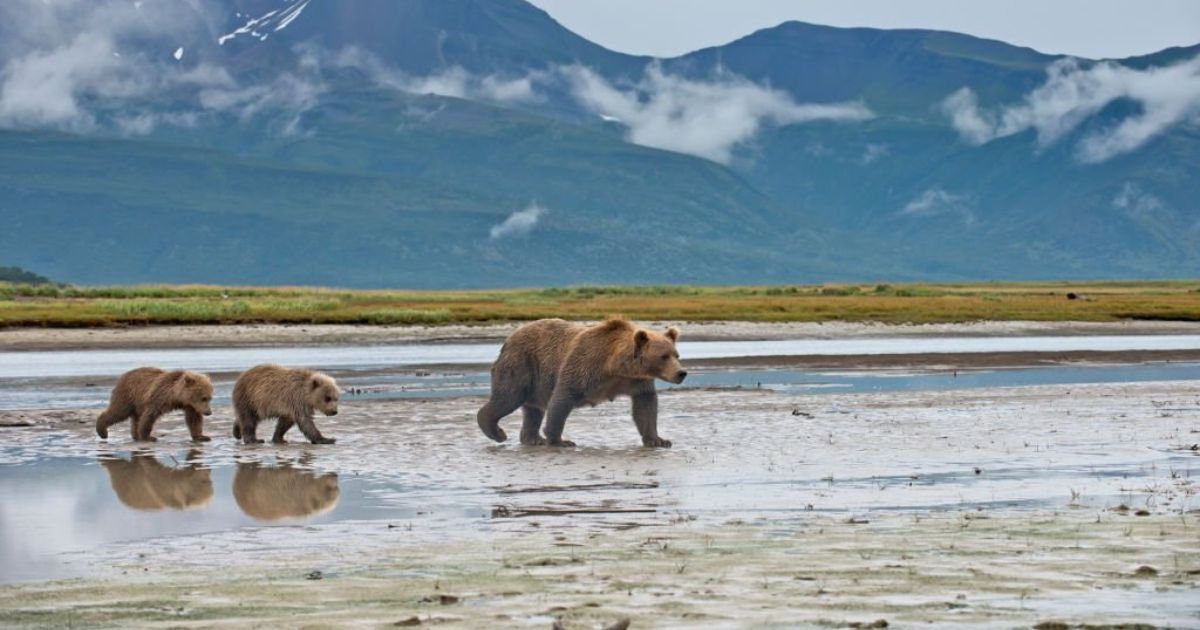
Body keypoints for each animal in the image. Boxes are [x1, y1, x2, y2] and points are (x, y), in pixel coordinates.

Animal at [476, 317, 687, 448]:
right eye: (663, 356)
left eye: (676, 355)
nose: (681, 373)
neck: (616, 367)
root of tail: (508, 339)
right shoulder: (585, 366)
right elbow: (562, 398)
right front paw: (560, 440)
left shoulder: (637, 382)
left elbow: (646, 406)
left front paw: (658, 440)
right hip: (522, 363)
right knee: (509, 397)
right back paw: (497, 432)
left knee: (533, 410)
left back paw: (533, 439)